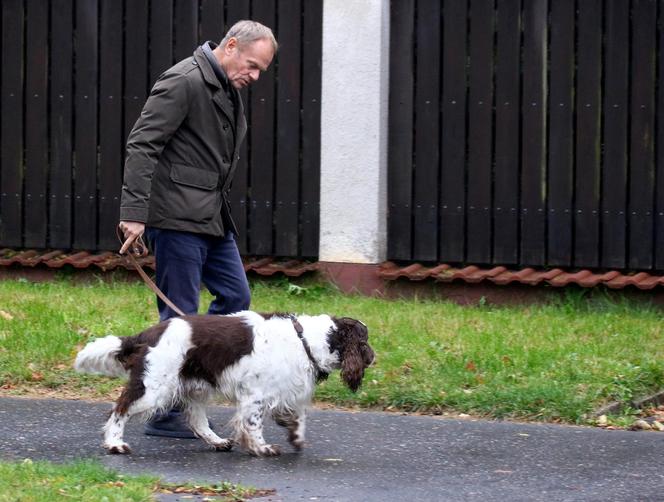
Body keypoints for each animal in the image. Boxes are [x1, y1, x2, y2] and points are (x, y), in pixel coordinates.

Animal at [74, 310, 374, 454]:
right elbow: (253, 425)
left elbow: (298, 416)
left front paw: (296, 438)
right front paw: (261, 448)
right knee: (119, 409)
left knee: (197, 421)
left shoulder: (286, 390)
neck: (305, 340)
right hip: (154, 388)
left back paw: (217, 442)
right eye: (364, 343)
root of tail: (147, 334)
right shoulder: (256, 395)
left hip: (193, 389)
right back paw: (114, 444)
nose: (373, 357)